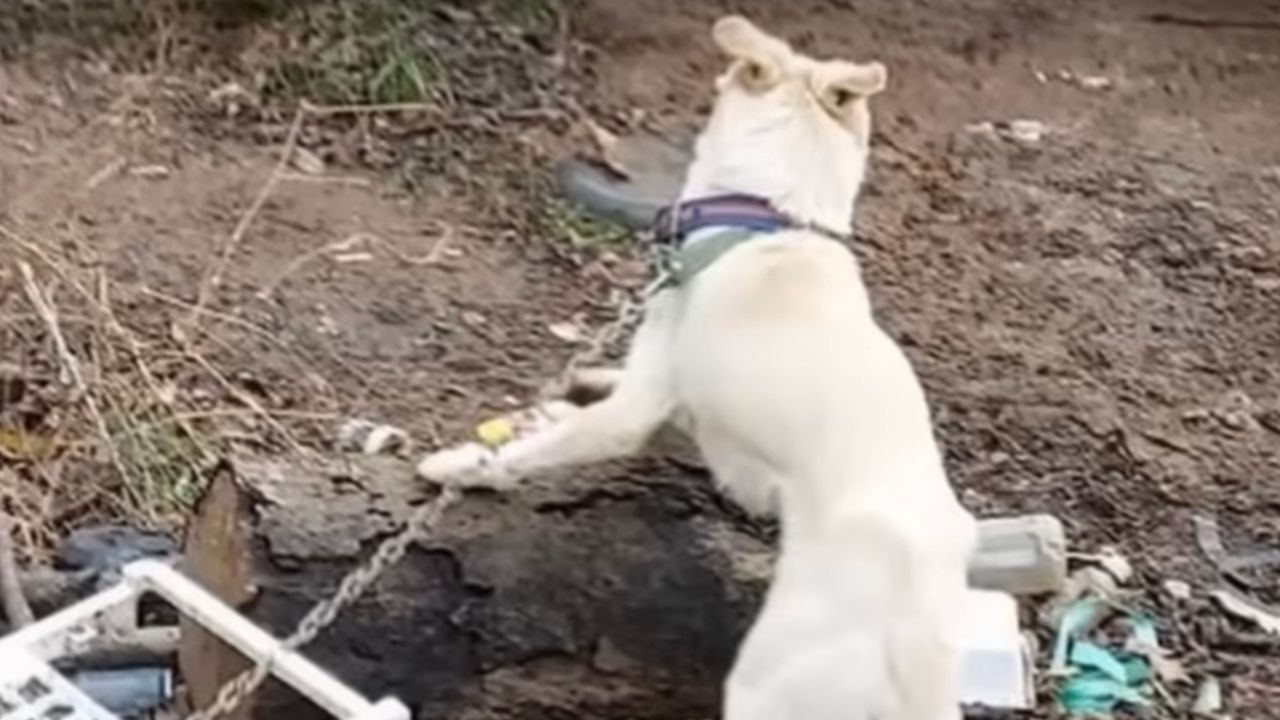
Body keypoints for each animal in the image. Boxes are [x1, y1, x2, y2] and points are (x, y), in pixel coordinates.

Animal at [414, 16, 972, 717]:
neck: (770, 219)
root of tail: (913, 634)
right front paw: (564, 397)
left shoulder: (638, 403)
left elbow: (533, 451)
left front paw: (462, 465)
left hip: (764, 684)